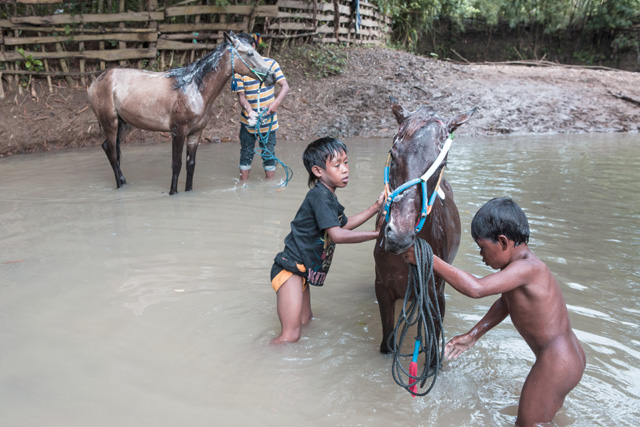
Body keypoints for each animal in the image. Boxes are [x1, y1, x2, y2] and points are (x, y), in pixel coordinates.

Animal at [87, 31, 276, 196]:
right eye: (250, 53)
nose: (272, 76)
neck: (193, 89)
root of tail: (96, 81)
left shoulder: (195, 133)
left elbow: (190, 165)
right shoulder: (178, 132)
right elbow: (176, 165)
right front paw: (173, 193)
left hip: (124, 125)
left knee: (110, 148)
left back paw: (123, 181)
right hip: (110, 123)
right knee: (112, 153)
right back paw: (119, 186)